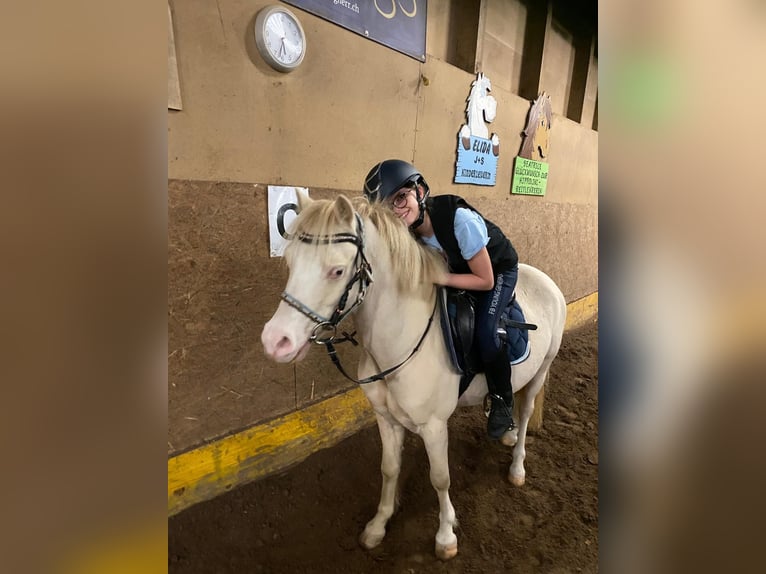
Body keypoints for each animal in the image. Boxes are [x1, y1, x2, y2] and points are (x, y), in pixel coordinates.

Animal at [261, 194, 567, 560]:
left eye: (337, 271)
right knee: (509, 400)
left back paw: (517, 466)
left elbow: (440, 478)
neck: (402, 338)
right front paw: (377, 526)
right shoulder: (386, 419)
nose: (276, 341)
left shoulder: (434, 426)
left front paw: (446, 537)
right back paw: (502, 429)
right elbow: (389, 468)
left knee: (524, 415)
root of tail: (546, 281)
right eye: (290, 261)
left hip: (542, 370)